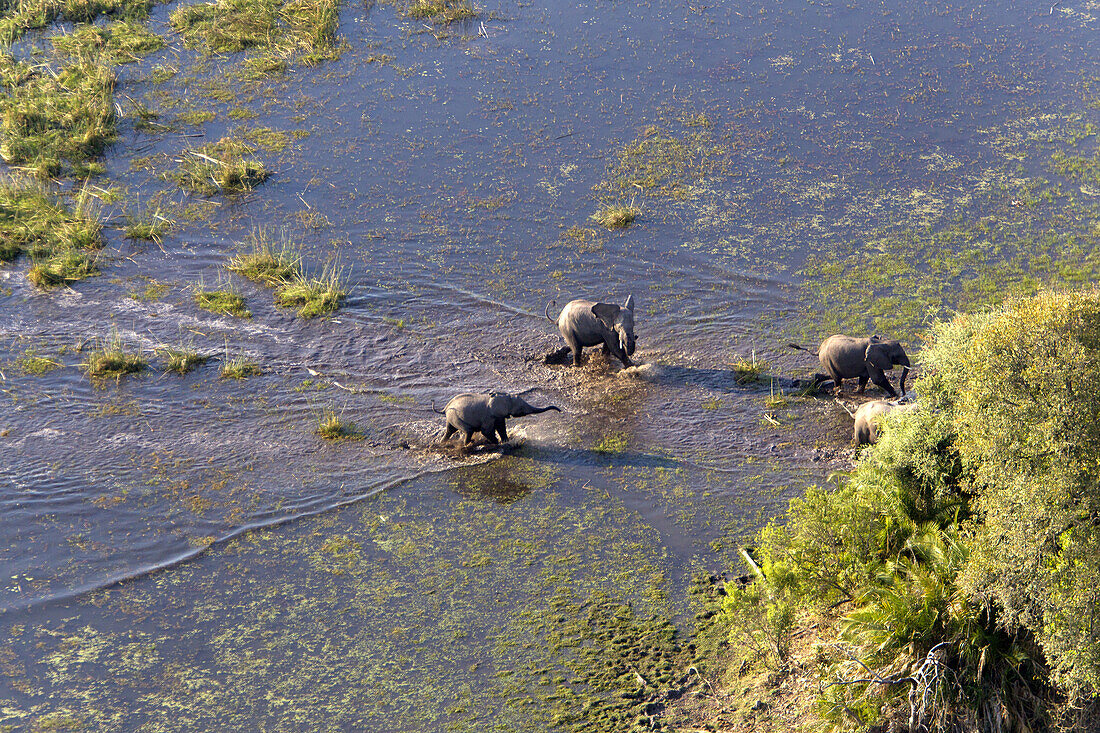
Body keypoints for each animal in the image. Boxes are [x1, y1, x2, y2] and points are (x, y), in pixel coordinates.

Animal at [433, 387, 563, 444]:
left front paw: (506, 441)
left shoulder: (498, 416)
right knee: (468, 430)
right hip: (456, 416)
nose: (560, 411)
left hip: (452, 417)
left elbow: (501, 427)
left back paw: (442, 443)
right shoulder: (488, 416)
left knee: (450, 430)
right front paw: (497, 443)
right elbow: (486, 431)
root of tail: (445, 408)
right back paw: (469, 444)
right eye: (521, 409)